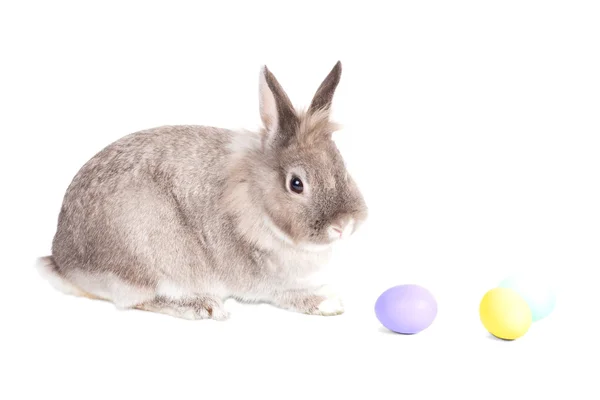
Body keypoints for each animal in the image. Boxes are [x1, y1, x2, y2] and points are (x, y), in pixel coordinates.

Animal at [37, 61, 368, 320]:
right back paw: (201, 306)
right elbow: (283, 292)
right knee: (139, 299)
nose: (344, 225)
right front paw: (326, 302)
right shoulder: (258, 277)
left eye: (341, 165)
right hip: (149, 253)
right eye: (296, 184)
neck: (254, 198)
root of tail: (63, 261)